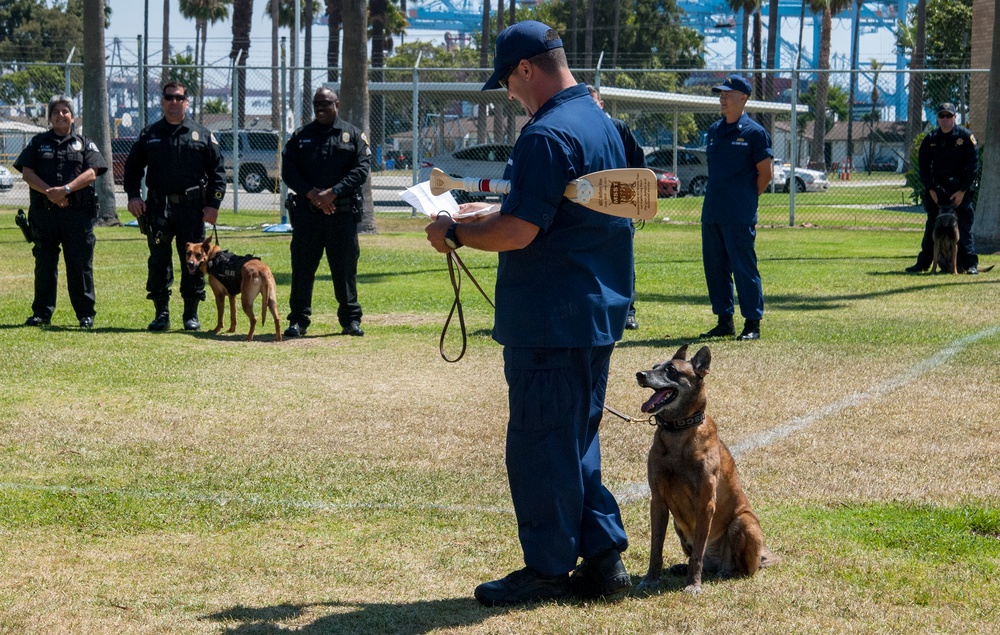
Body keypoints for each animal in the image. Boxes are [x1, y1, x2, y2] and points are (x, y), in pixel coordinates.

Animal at [636, 346, 776, 592]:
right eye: (654, 367)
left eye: (671, 370)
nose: (640, 375)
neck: (677, 431)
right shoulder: (658, 501)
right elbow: (656, 547)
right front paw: (651, 578)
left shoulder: (705, 503)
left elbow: (697, 555)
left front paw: (693, 584)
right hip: (678, 524)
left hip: (743, 523)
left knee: (744, 569)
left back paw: (727, 572)